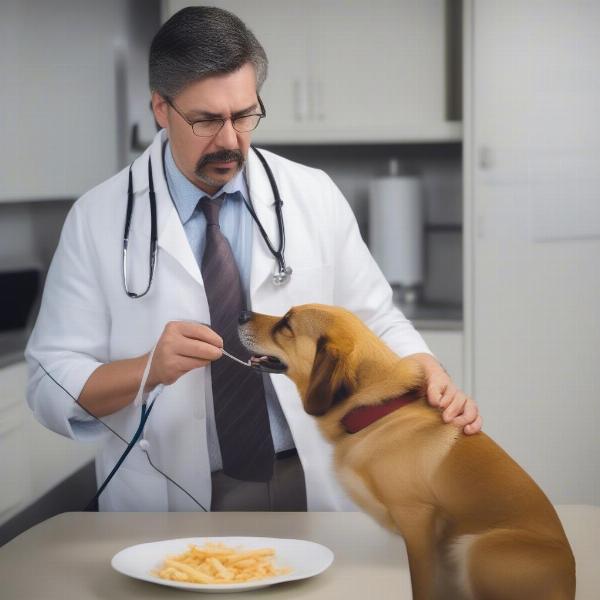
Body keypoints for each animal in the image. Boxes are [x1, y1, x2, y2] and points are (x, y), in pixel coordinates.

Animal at [240, 304, 576, 600]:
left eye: (286, 323)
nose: (242, 314)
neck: (377, 412)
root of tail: (567, 583)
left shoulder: (416, 520)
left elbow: (421, 580)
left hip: (475, 546)